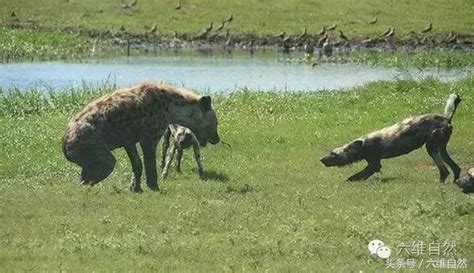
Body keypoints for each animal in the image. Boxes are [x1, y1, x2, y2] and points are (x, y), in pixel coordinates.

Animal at [61, 83, 220, 191]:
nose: (217, 139)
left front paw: (136, 188)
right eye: (216, 123)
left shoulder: (129, 139)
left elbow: (137, 164)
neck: (171, 107)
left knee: (86, 173)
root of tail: (64, 143)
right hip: (93, 146)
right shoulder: (149, 138)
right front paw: (155, 188)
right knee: (100, 169)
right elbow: (150, 165)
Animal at [320, 92, 462, 182]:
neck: (363, 145)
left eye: (333, 154)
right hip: (440, 149)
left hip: (432, 149)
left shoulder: (374, 165)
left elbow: (356, 176)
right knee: (455, 169)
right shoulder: (372, 163)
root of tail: (446, 118)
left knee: (445, 171)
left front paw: (350, 181)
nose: (321, 159)